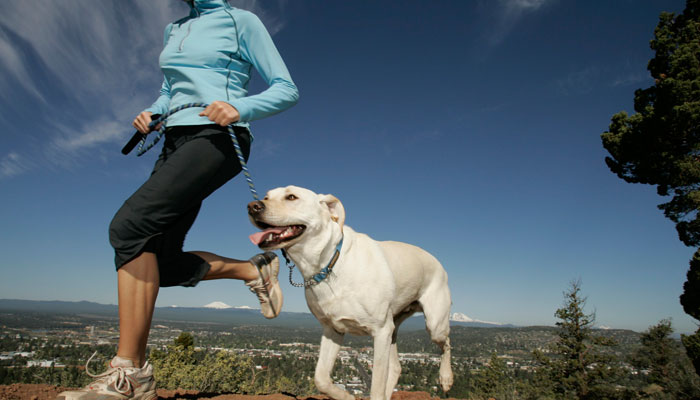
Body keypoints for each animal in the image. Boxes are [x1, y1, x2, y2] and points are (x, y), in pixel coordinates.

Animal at [246, 186, 454, 398]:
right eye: (266, 197)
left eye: (291, 197)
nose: (253, 206)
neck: (329, 264)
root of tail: (437, 261)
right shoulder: (333, 329)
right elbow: (321, 378)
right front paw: (346, 396)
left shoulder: (380, 331)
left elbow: (376, 386)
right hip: (393, 328)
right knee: (396, 367)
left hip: (434, 324)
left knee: (446, 342)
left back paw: (446, 378)